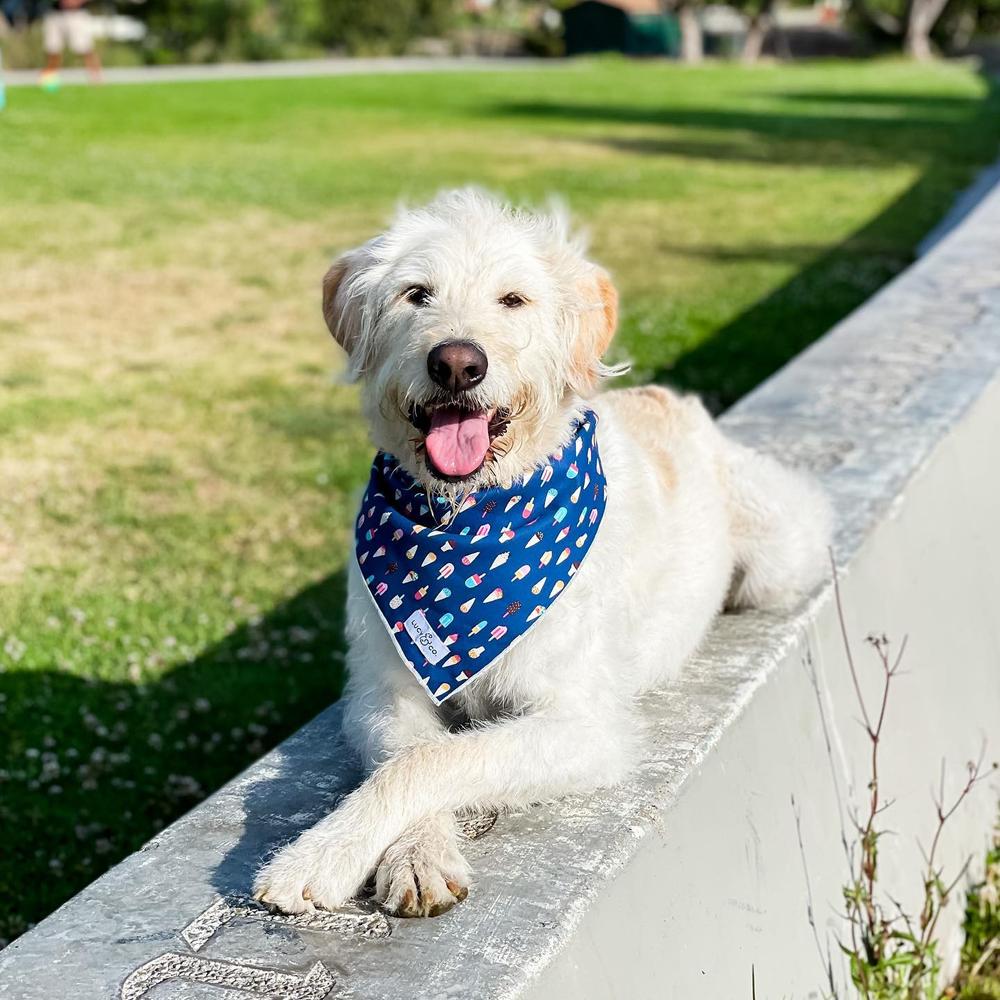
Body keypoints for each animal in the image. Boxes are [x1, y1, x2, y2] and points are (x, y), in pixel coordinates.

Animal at [250, 188, 828, 916]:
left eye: (513, 300)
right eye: (416, 293)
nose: (458, 363)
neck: (464, 519)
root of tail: (668, 396)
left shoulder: (584, 724)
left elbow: (437, 760)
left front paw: (317, 856)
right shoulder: (384, 697)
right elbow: (408, 757)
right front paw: (414, 855)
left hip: (778, 551)